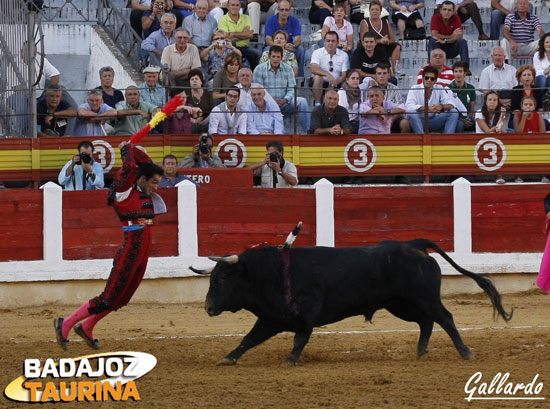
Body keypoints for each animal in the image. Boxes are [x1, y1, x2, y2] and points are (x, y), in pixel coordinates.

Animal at [193, 237, 512, 364]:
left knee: (444, 318)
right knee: (426, 322)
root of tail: (413, 245)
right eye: (212, 280)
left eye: (223, 280)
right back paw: (421, 352)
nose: (207, 307)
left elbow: (299, 339)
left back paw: (465, 352)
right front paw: (228, 358)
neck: (270, 273)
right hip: (400, 304)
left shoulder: (305, 316)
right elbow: (249, 339)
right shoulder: (271, 318)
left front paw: (291, 360)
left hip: (424, 298)